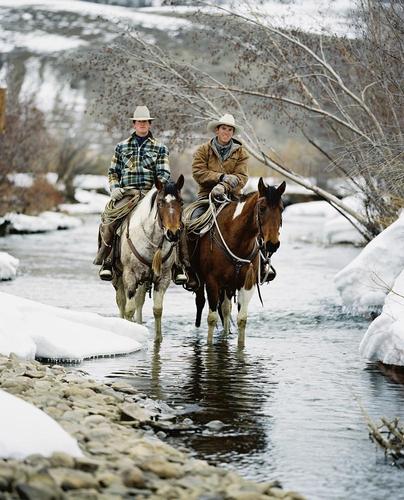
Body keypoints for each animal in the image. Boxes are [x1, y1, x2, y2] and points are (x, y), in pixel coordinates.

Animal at [113, 174, 184, 342]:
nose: (173, 233)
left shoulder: (162, 278)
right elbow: (129, 309)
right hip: (118, 276)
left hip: (145, 280)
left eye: (181, 202)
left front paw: (158, 339)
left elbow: (157, 309)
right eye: (160, 202)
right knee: (121, 302)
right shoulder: (130, 275)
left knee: (140, 301)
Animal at [189, 180, 284, 348]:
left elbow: (241, 318)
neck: (236, 240)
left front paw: (240, 347)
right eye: (262, 208)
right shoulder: (212, 282)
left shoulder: (247, 283)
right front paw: (209, 345)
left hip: (228, 285)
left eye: (282, 208)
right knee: (200, 304)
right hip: (202, 283)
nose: (273, 244)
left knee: (226, 309)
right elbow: (212, 318)